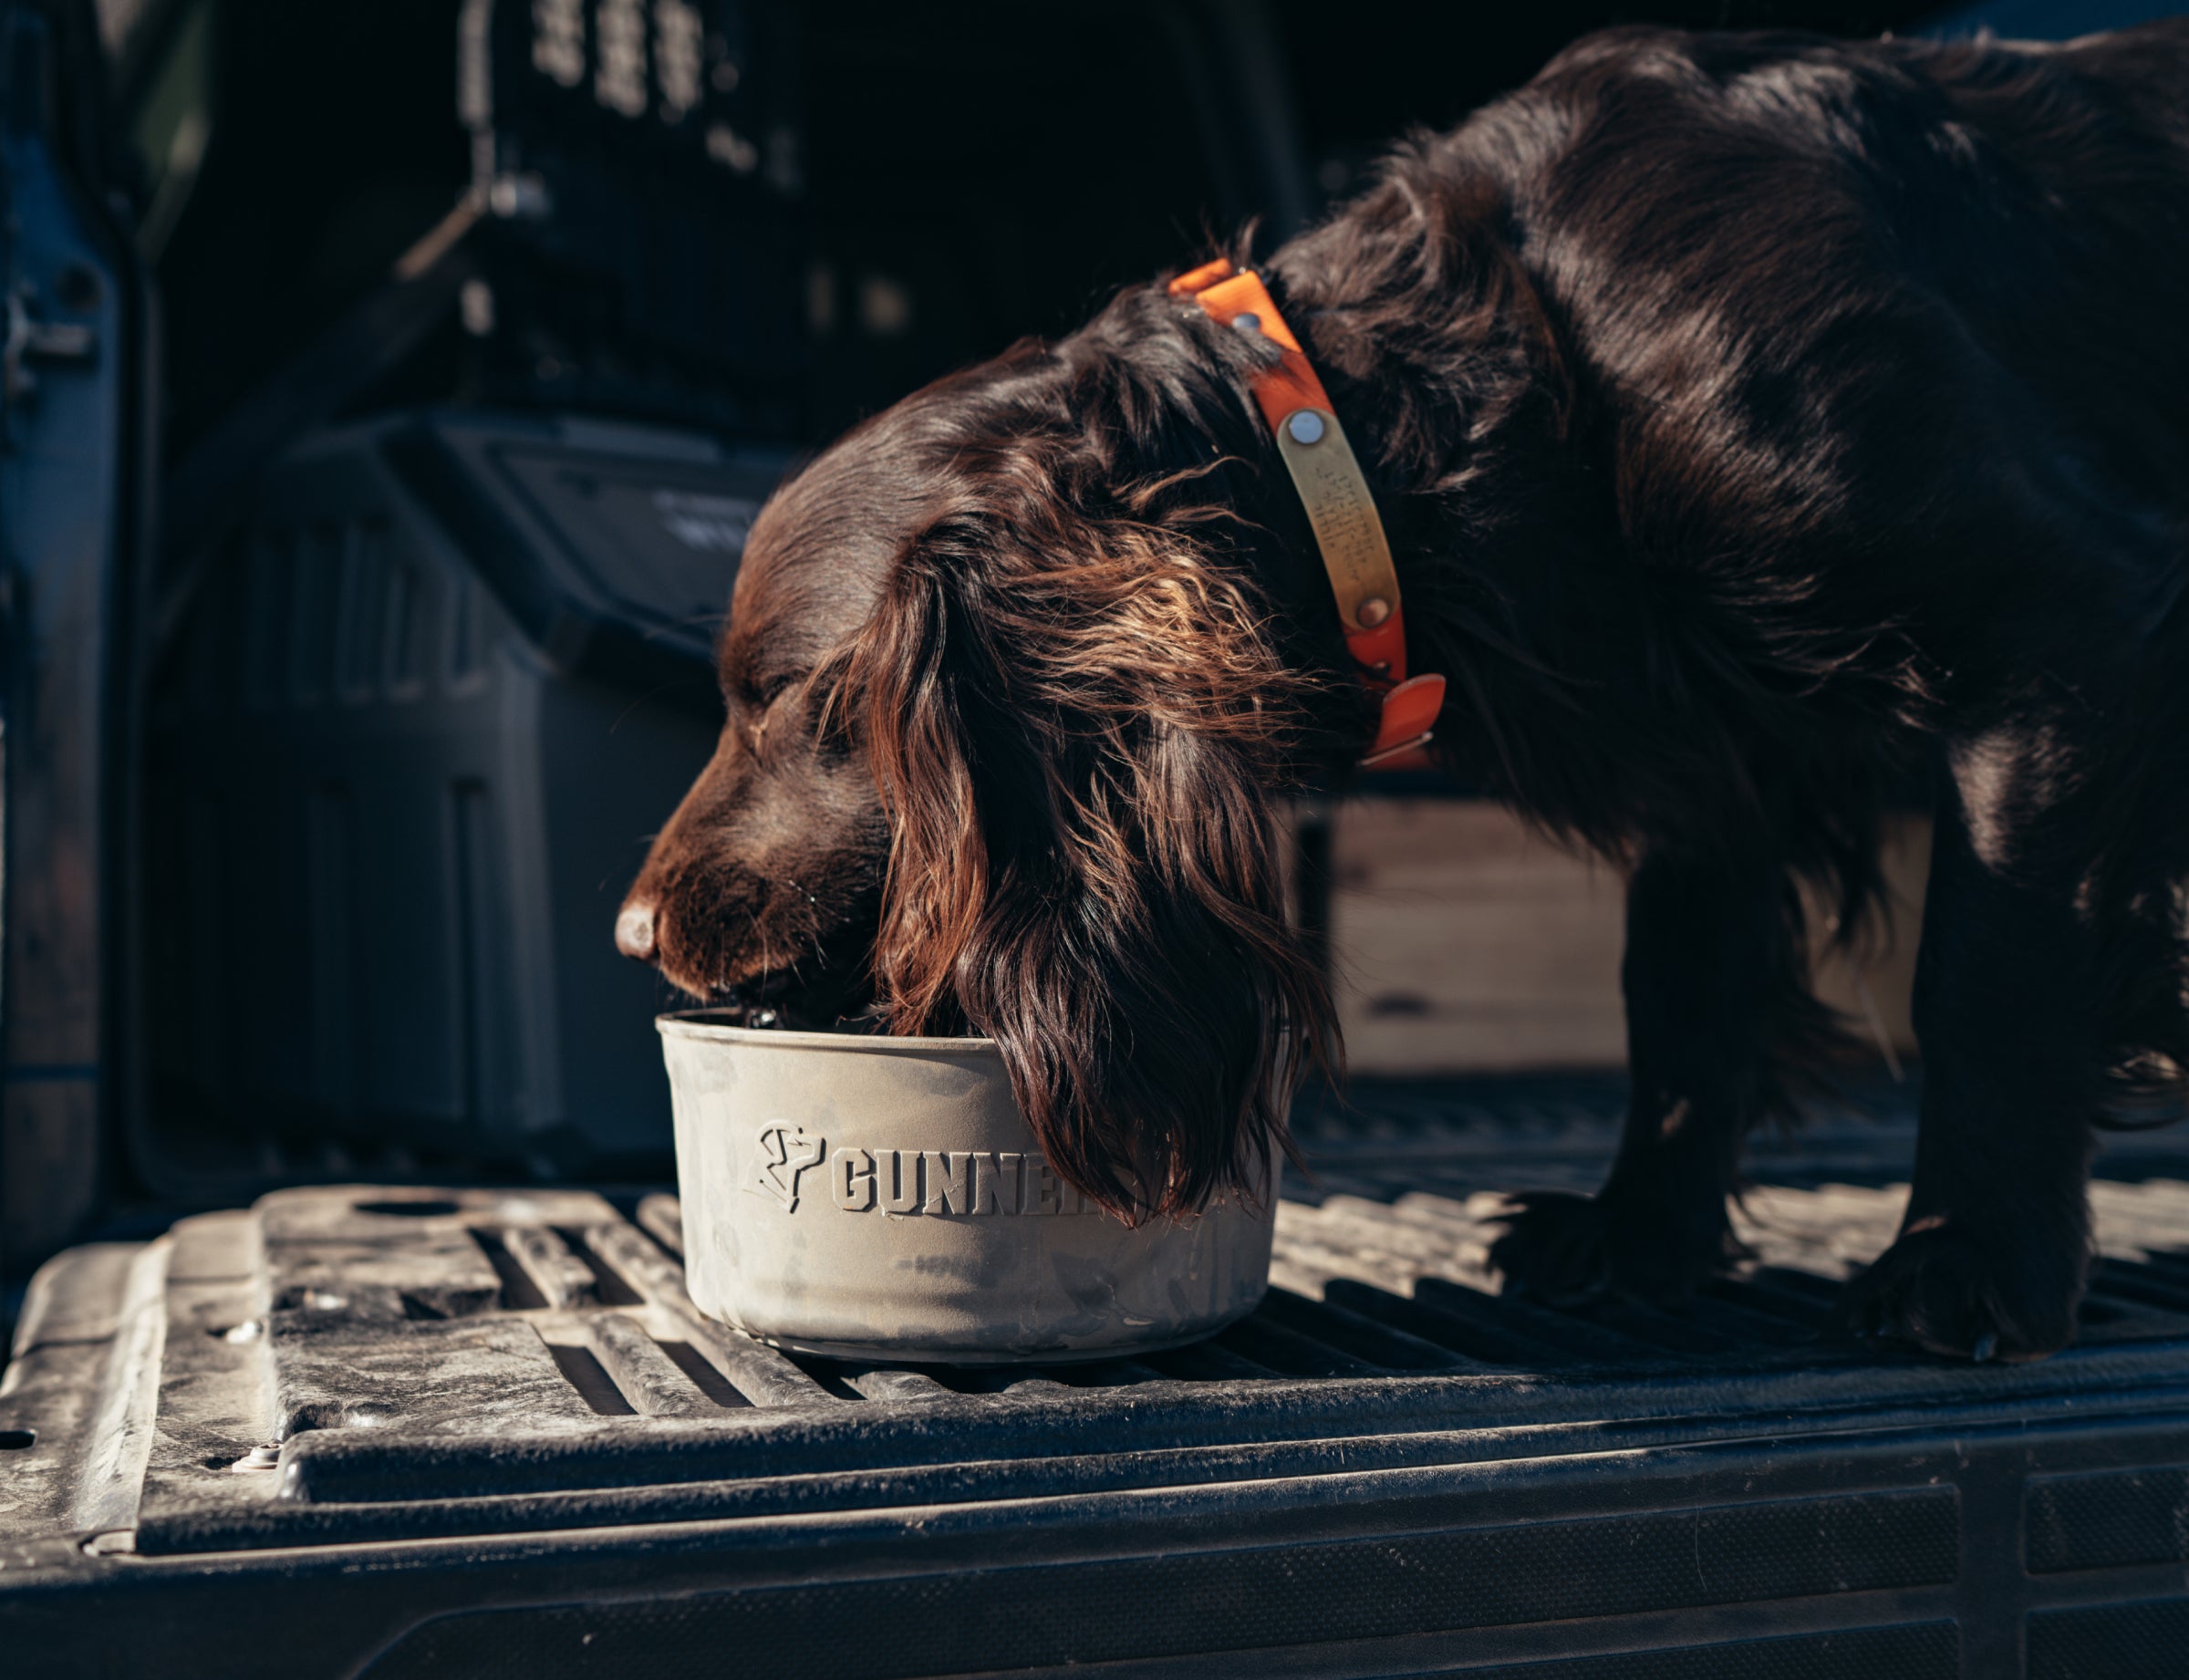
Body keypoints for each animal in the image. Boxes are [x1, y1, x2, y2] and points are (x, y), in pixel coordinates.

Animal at [617, 26, 2189, 1356]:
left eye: (780, 698)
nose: (631, 931)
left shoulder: (2066, 624)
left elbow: (1985, 976)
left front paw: (1972, 1259)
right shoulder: (1713, 747)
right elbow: (1681, 992)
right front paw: (1639, 1233)